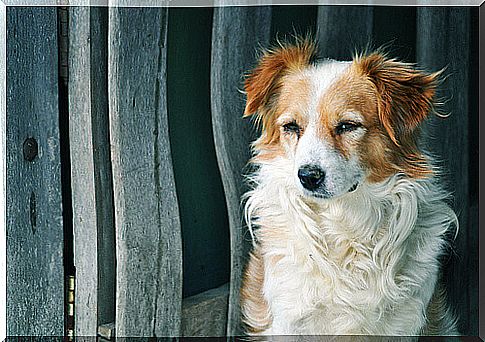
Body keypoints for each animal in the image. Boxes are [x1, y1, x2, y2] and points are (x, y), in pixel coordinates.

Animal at [240, 38, 460, 336]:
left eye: (347, 126)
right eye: (291, 127)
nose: (307, 176)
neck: (343, 221)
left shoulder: (404, 322)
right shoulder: (289, 319)